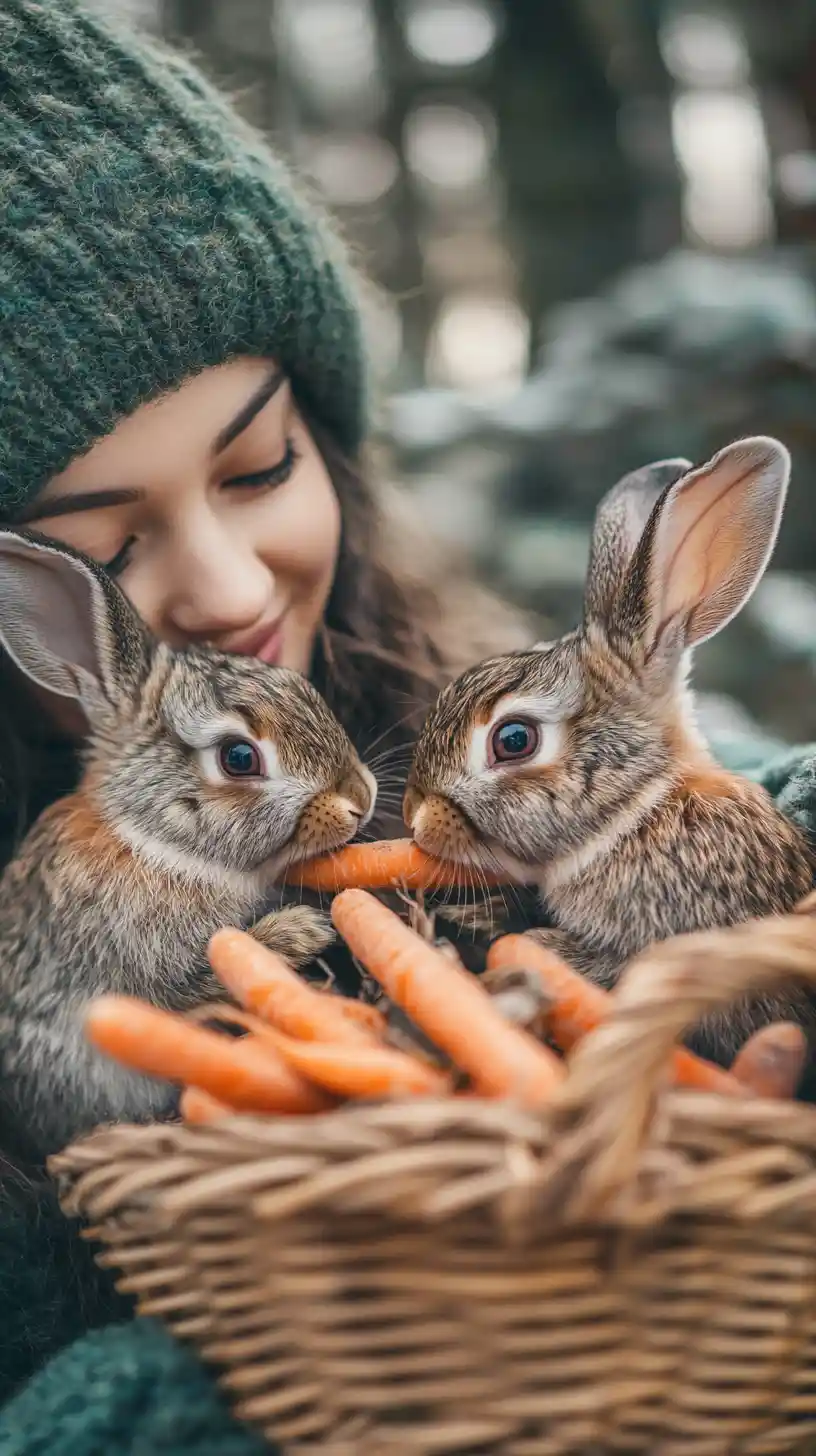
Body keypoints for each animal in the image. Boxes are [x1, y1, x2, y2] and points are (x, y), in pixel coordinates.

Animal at [0, 529, 377, 1161]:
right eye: (239, 757)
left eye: (303, 686)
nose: (360, 798)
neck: (149, 837)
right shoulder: (141, 962)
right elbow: (204, 977)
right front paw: (303, 931)